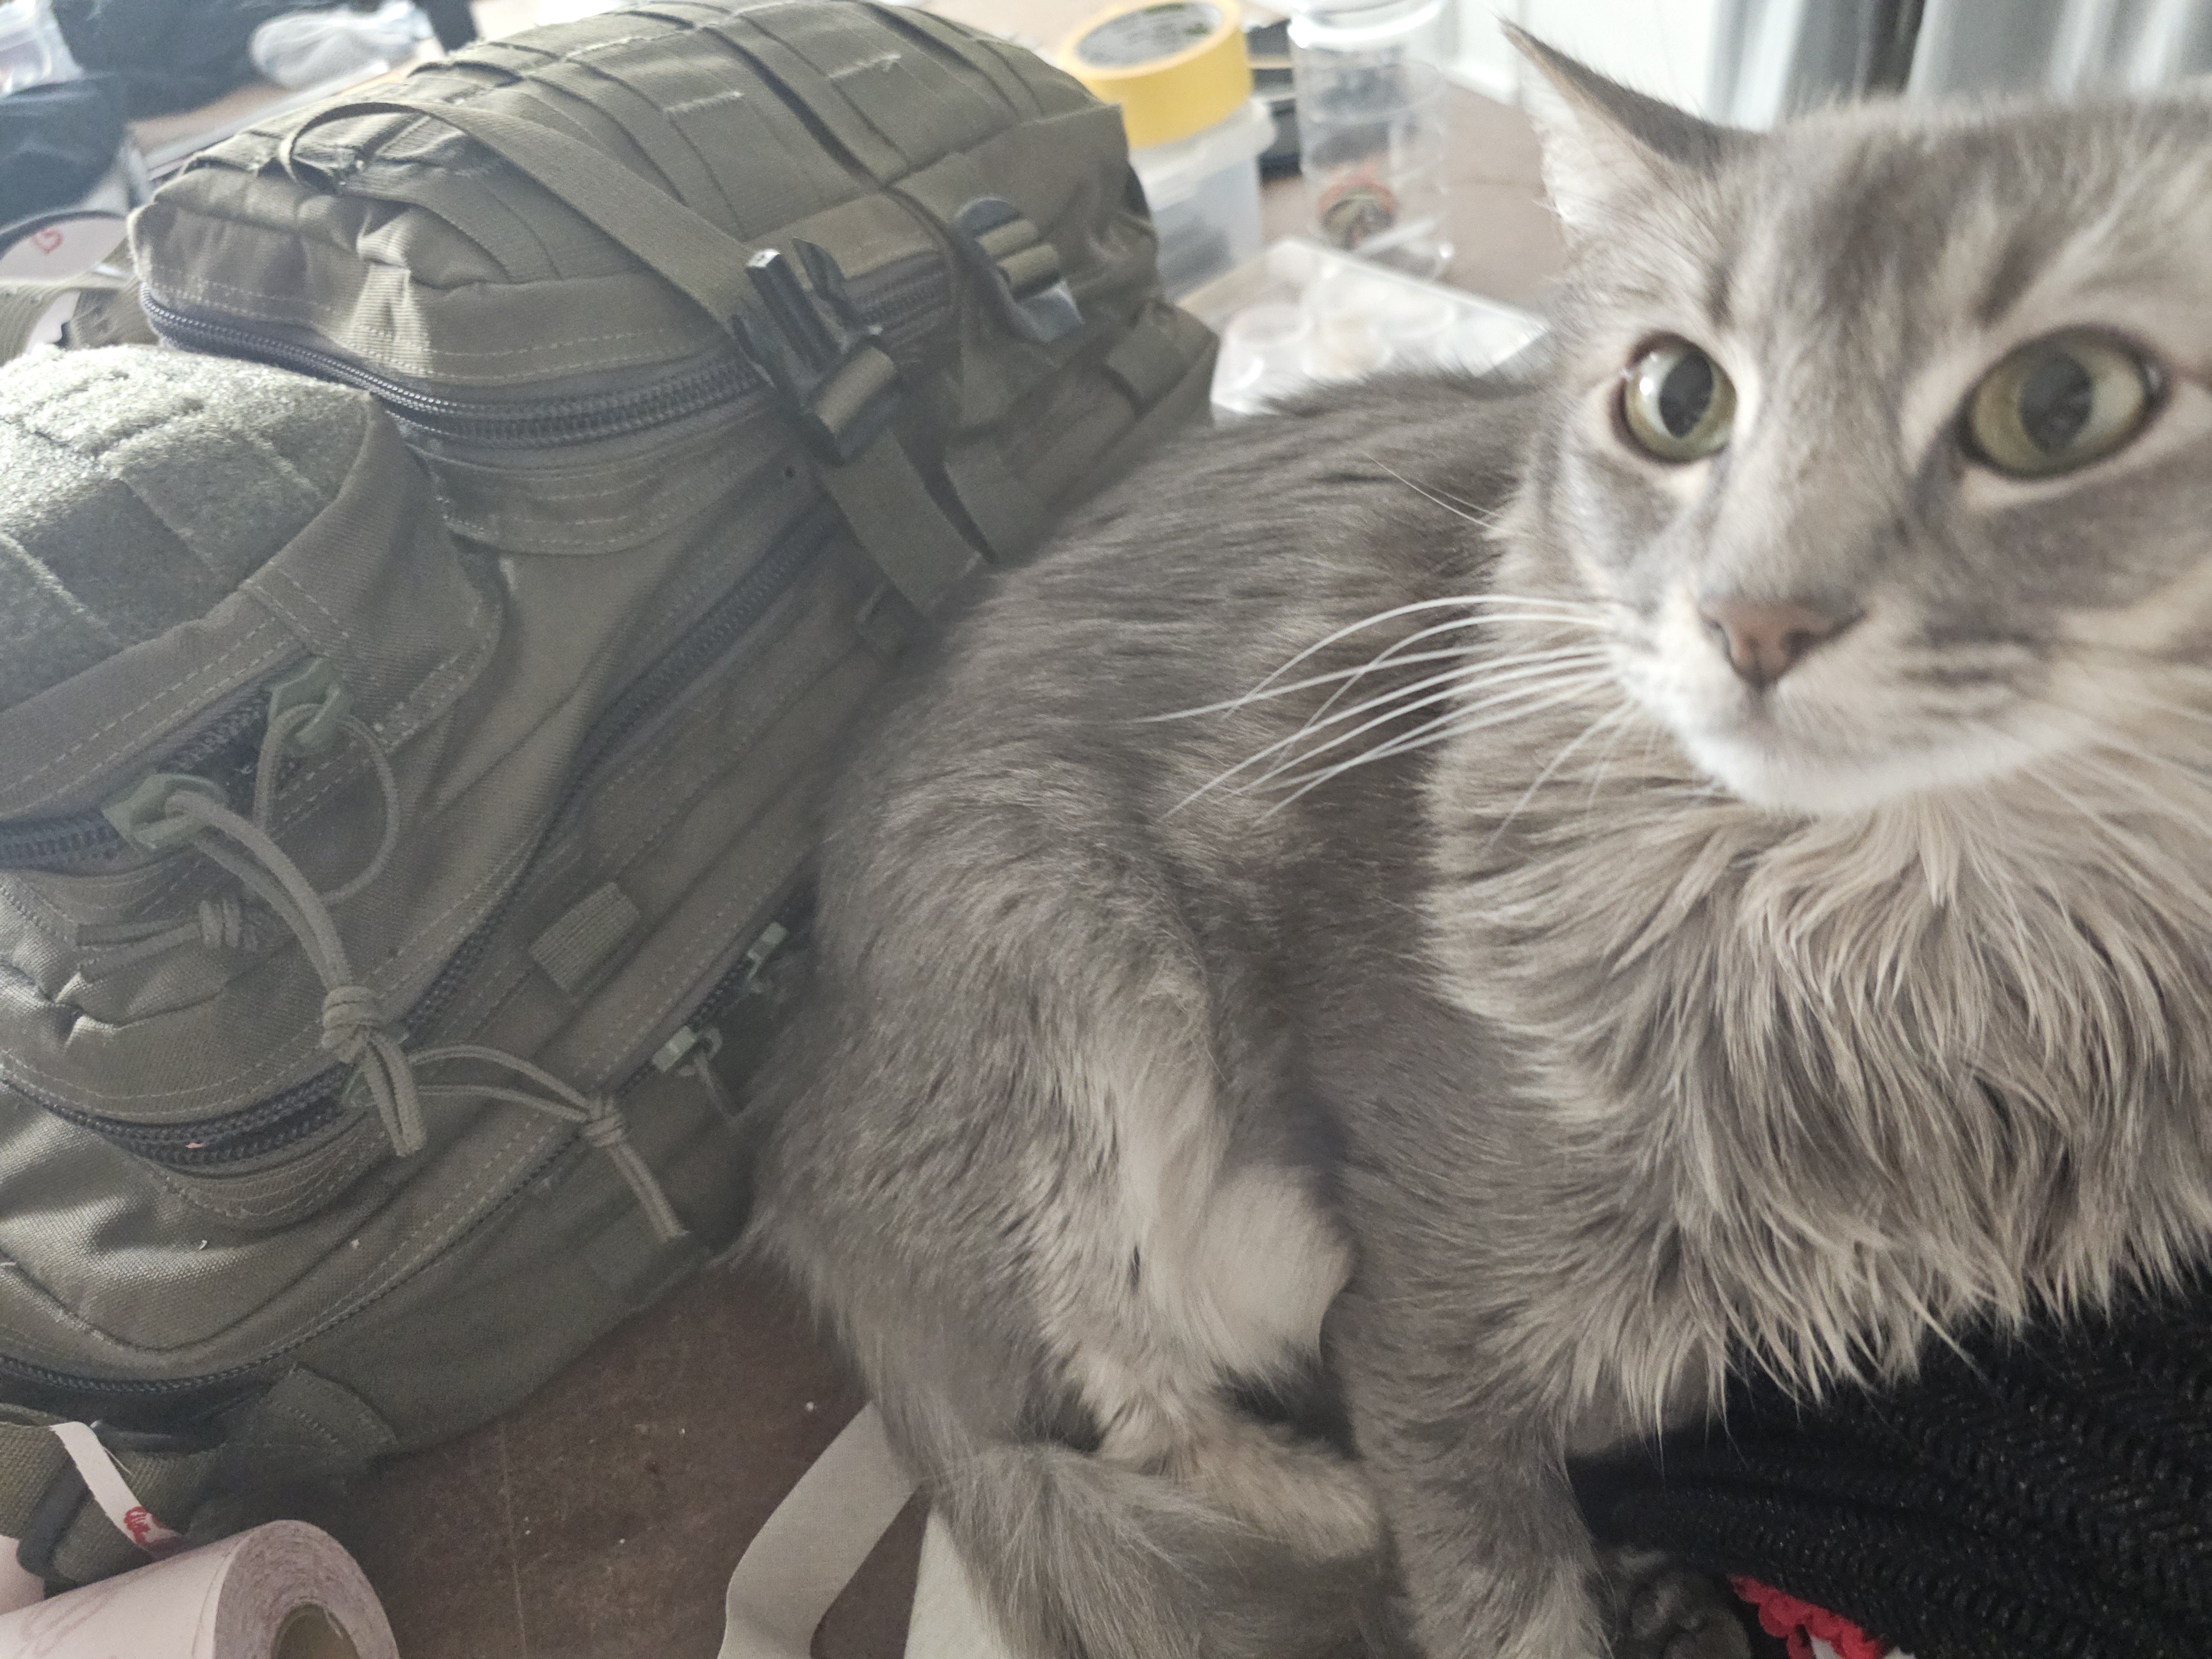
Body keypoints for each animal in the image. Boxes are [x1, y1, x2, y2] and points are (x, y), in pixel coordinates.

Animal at [752, 39, 2212, 1659]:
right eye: (1681, 398)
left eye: (2063, 402)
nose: (1753, 618)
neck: (1900, 974)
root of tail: (803, 1116)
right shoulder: (1430, 1313)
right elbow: (1491, 1575)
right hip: (1055, 954)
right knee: (1104, 1419)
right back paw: (1331, 1508)